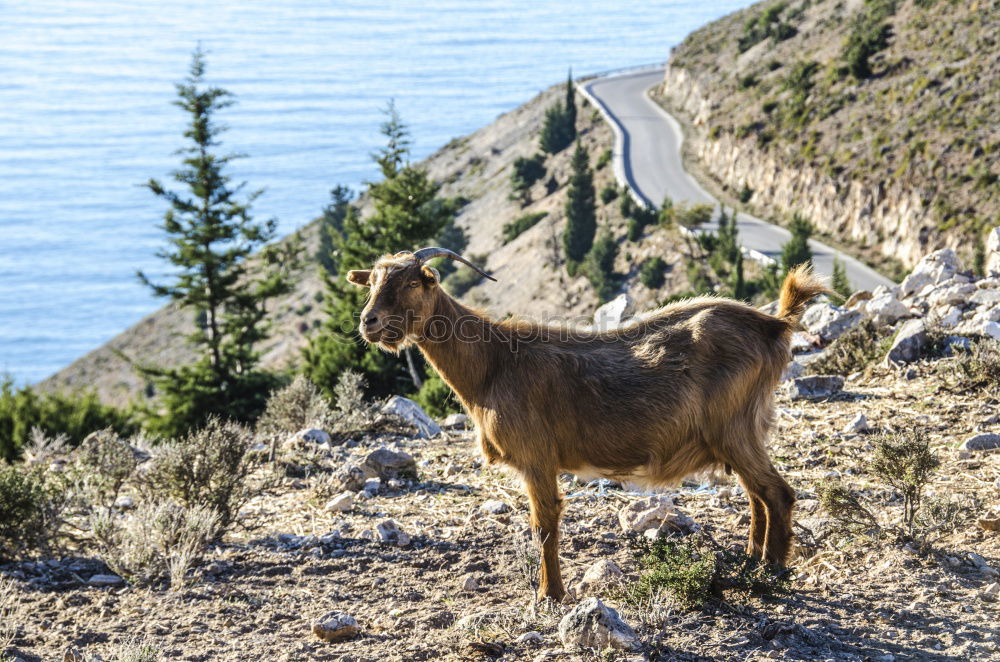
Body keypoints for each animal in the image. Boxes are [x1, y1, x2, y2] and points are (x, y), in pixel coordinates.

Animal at [350, 249, 828, 600]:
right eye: (371, 283)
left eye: (413, 281)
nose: (369, 322)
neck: (494, 363)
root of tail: (774, 325)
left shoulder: (536, 458)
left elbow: (544, 525)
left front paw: (552, 595)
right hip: (740, 433)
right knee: (757, 495)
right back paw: (750, 560)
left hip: (735, 428)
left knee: (778, 494)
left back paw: (772, 572)